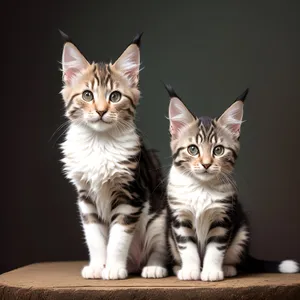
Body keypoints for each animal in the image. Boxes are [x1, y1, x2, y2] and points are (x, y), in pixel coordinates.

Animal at [165, 85, 298, 282]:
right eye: (193, 149)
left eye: (218, 150)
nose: (206, 164)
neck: (201, 187)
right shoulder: (180, 219)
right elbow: (187, 248)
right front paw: (190, 271)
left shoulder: (223, 218)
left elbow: (215, 249)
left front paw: (211, 272)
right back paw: (178, 268)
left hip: (242, 231)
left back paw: (227, 268)